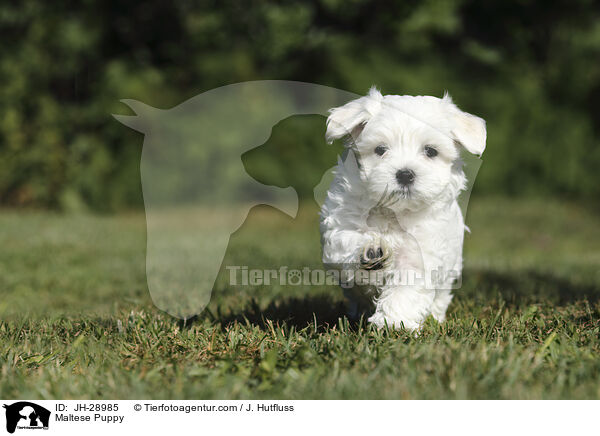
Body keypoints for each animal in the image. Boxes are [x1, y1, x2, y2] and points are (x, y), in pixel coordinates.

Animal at [322, 87, 486, 328]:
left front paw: (392, 324)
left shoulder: (421, 253)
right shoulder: (338, 228)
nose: (405, 174)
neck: (394, 211)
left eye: (430, 151)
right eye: (380, 149)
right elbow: (346, 241)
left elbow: (405, 289)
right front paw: (371, 251)